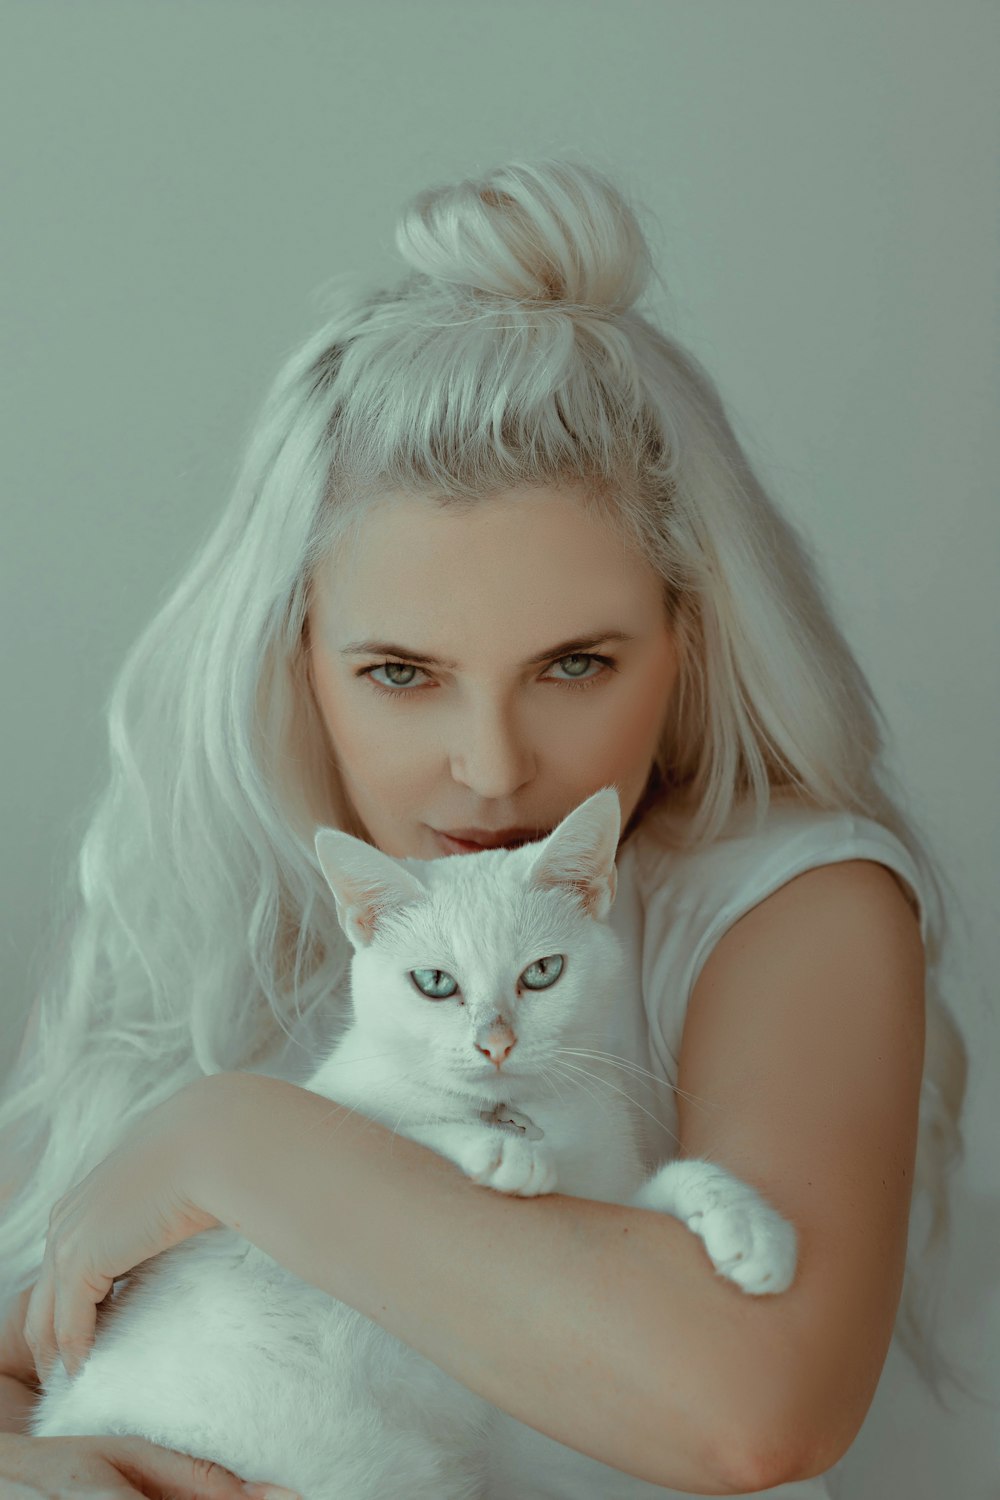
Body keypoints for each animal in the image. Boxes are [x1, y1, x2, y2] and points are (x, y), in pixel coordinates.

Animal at [31, 792, 797, 1494]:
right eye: (434, 982)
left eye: (542, 972)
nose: (495, 1043)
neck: (523, 1109)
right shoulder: (330, 1113)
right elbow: (395, 1123)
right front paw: (502, 1151)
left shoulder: (612, 1204)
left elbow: (681, 1177)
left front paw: (749, 1228)